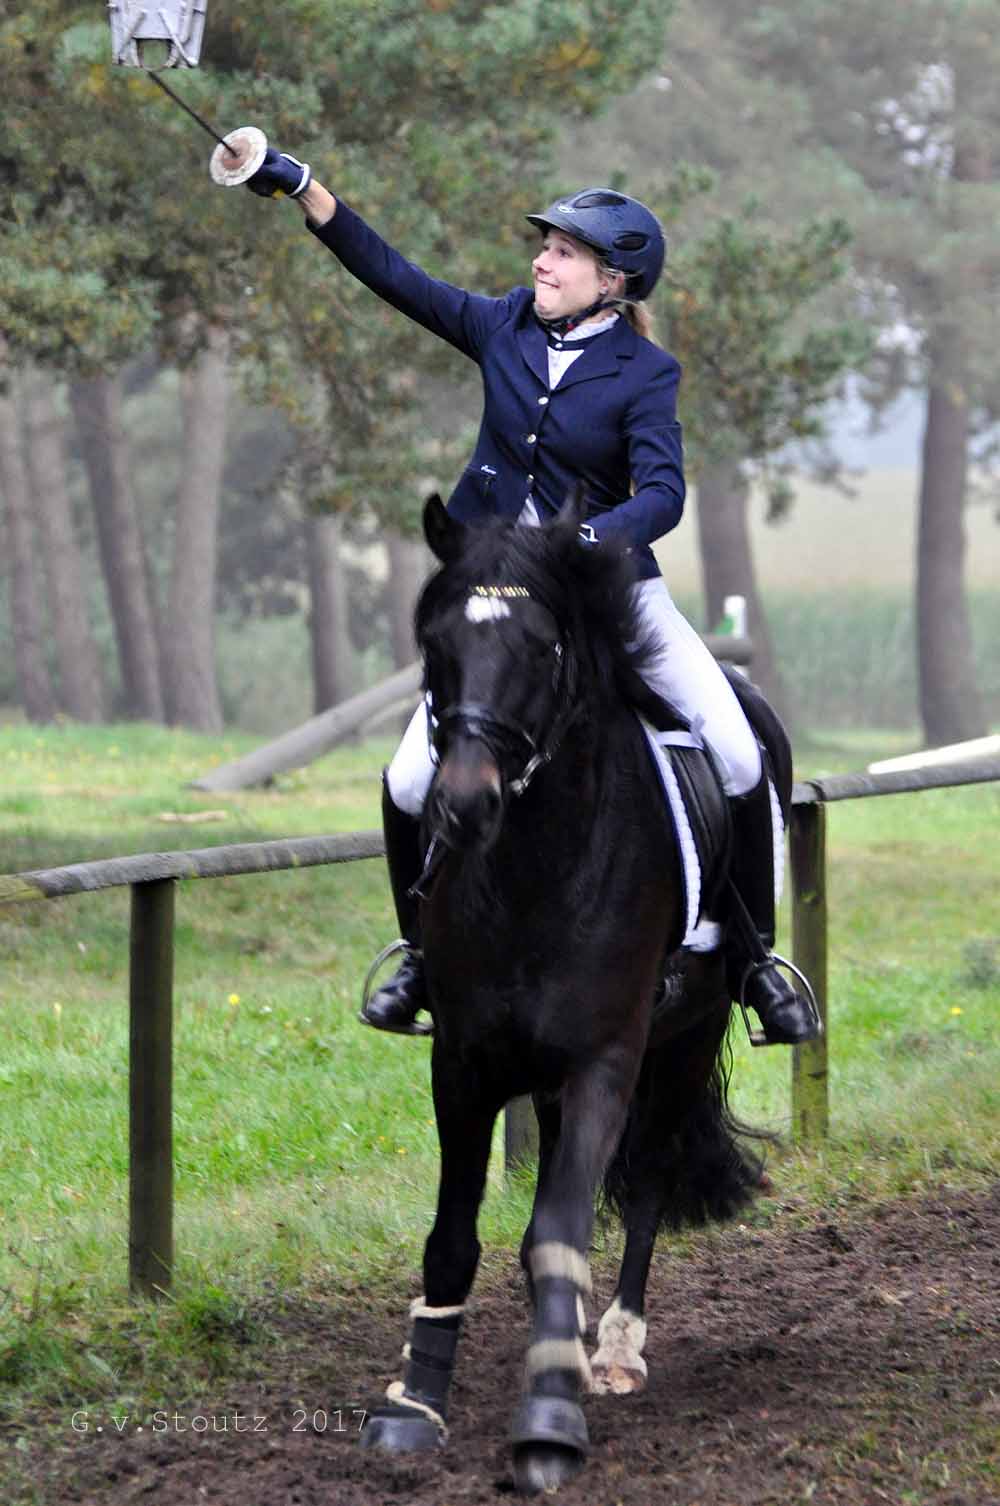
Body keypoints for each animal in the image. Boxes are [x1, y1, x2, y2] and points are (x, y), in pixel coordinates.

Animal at [360, 492, 779, 1495]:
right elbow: (456, 1236)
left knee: (652, 1175)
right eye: (435, 644)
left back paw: (616, 1348)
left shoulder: (603, 1063)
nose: (462, 806)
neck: (532, 869)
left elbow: (562, 1229)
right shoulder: (464, 1062)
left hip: (688, 1034)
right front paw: (417, 1400)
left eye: (544, 647)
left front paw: (549, 1418)